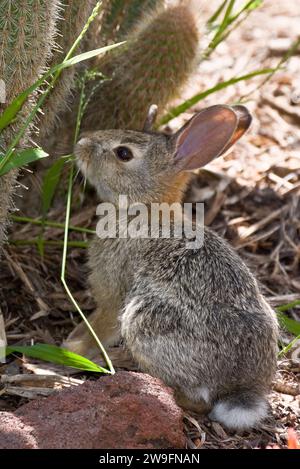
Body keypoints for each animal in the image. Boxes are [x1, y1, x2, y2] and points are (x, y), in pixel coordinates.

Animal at [65, 104, 278, 430]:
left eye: (123, 153)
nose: (82, 144)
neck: (145, 209)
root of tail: (240, 388)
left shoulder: (113, 292)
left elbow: (101, 323)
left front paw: (73, 348)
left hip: (145, 321)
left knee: (197, 400)